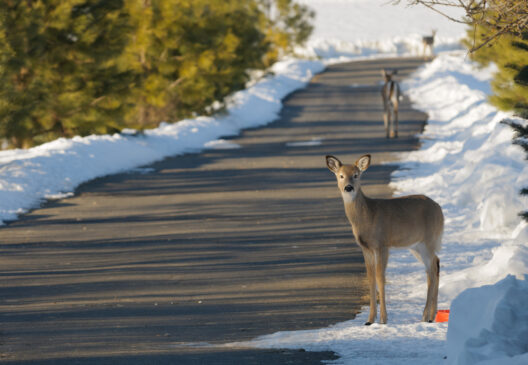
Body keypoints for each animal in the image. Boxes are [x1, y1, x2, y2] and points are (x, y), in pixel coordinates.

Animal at [324, 154, 444, 324]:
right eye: (341, 176)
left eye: (356, 175)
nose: (348, 187)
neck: (368, 215)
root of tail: (440, 209)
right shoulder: (366, 248)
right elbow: (371, 278)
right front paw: (369, 320)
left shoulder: (382, 244)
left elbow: (380, 277)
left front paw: (383, 319)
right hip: (416, 245)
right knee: (435, 264)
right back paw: (431, 315)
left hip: (429, 240)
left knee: (432, 270)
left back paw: (426, 316)